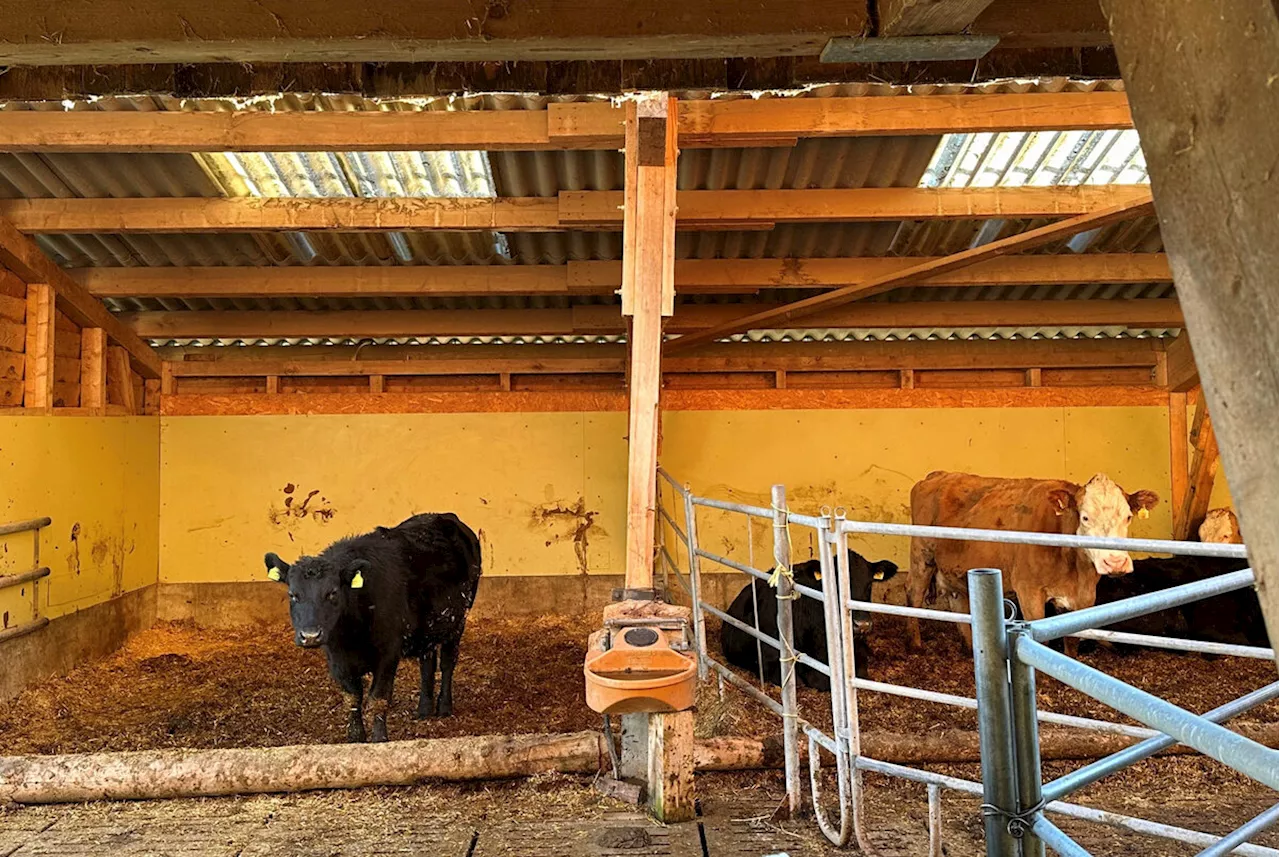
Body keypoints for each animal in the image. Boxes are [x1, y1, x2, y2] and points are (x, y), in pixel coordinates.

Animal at [263, 511, 481, 746]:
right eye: (293, 594)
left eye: (332, 593)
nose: (310, 636)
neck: (351, 635)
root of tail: (444, 516)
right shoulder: (337, 659)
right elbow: (352, 697)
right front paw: (356, 737)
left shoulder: (388, 652)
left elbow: (378, 698)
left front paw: (379, 739)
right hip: (426, 630)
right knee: (427, 664)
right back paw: (424, 708)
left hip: (458, 621)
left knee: (448, 663)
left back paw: (444, 706)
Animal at [901, 470, 1162, 652]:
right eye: (1085, 517)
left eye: (1128, 517)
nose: (1115, 562)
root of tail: (938, 475)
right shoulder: (1029, 590)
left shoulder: (1085, 594)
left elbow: (1072, 638)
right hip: (921, 556)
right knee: (914, 592)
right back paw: (915, 644)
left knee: (958, 600)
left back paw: (969, 647)